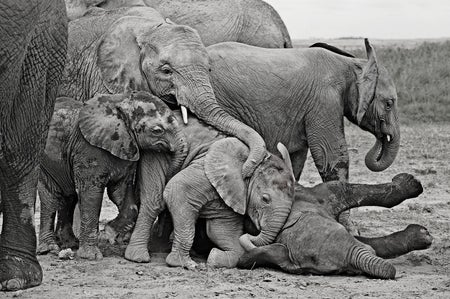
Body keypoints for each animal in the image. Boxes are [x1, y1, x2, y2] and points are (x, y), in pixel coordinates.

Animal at [38, 91, 185, 260]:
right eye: (157, 131)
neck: (122, 102)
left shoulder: (126, 148)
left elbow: (122, 194)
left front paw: (109, 232)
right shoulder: (88, 149)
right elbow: (91, 195)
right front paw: (92, 256)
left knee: (69, 196)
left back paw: (70, 244)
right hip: (43, 161)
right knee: (50, 197)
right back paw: (49, 249)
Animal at [239, 175, 432, 280]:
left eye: (342, 230)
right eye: (341, 270)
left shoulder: (317, 196)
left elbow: (342, 187)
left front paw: (411, 183)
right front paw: (422, 235)